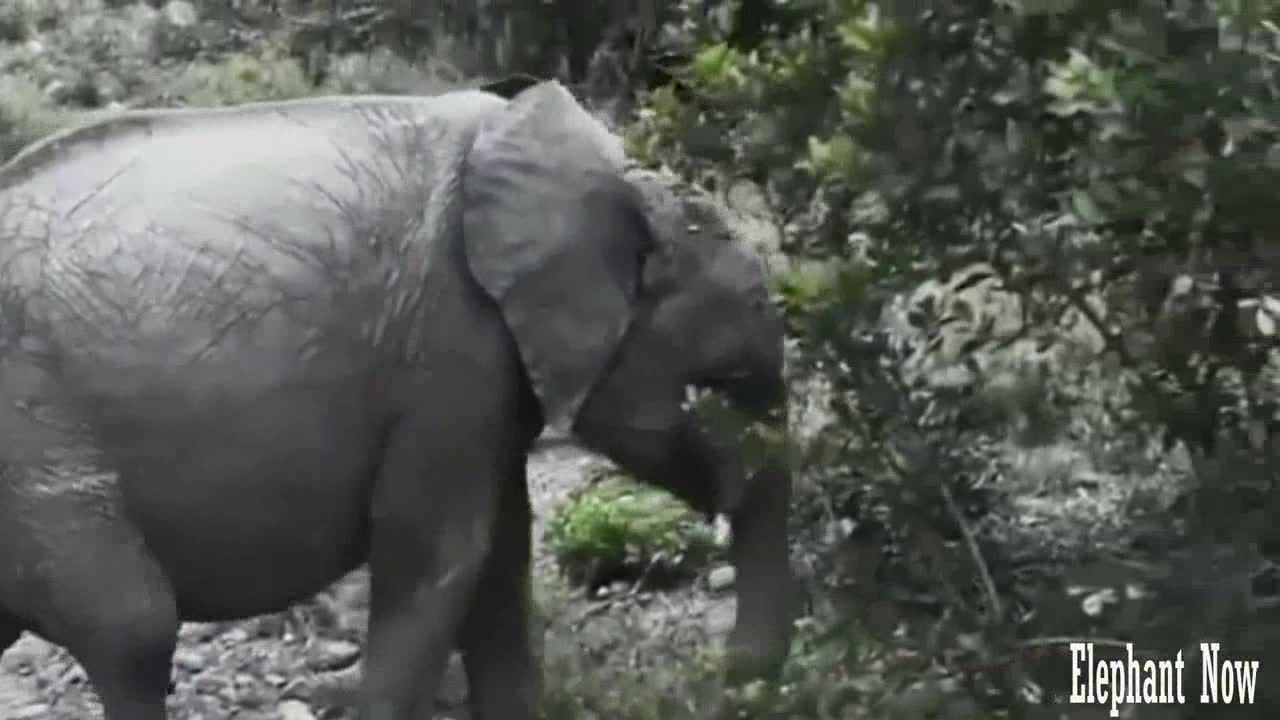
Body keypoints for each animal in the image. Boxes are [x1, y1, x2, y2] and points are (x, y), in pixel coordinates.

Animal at [0, 75, 793, 712]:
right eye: (709, 241)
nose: (734, 676)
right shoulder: (451, 341)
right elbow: (439, 557)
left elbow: (499, 563)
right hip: (32, 431)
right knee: (133, 627)